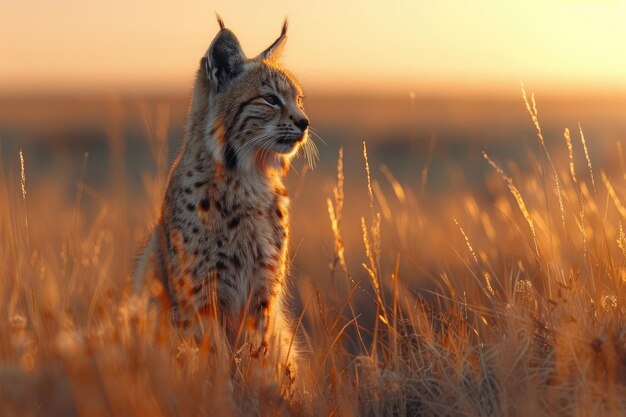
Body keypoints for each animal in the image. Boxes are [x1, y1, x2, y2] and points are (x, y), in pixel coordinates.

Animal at [135, 17, 314, 378]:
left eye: (299, 100)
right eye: (271, 99)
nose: (304, 123)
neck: (249, 177)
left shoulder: (263, 290)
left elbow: (258, 354)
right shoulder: (200, 292)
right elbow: (211, 356)